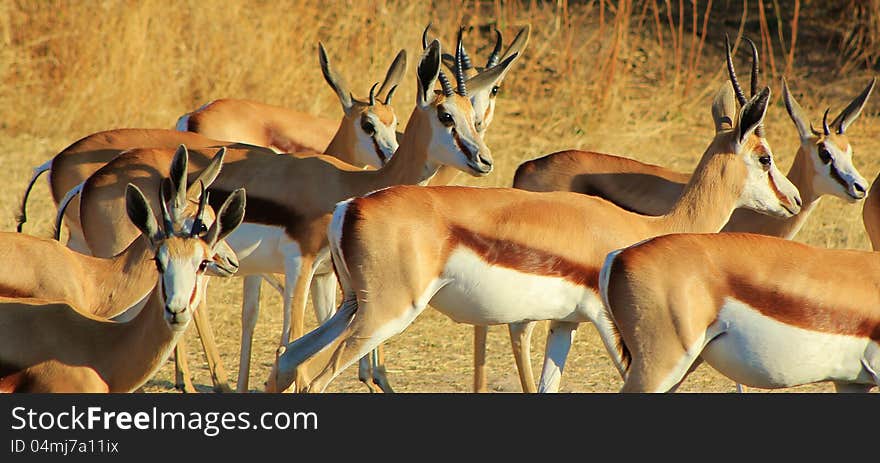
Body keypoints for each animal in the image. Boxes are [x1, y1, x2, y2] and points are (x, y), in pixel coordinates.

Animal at [268, 50, 804, 394]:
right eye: (765, 156)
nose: (795, 200)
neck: (642, 230)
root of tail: (350, 206)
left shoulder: (565, 324)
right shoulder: (615, 329)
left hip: (351, 306)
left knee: (286, 363)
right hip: (383, 315)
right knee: (314, 381)